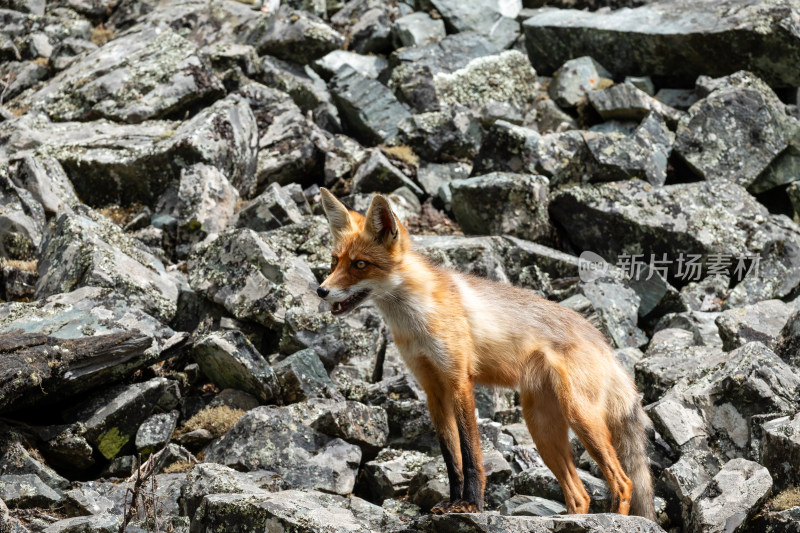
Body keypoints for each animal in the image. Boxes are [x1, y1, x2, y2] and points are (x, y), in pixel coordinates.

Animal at [316, 188, 652, 520]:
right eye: (334, 261)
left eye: (360, 265)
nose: (321, 290)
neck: (416, 318)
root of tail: (603, 340)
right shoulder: (433, 389)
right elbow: (451, 457)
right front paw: (451, 503)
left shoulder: (458, 380)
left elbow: (470, 454)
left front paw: (471, 505)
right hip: (541, 427)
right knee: (580, 495)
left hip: (580, 416)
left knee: (624, 482)